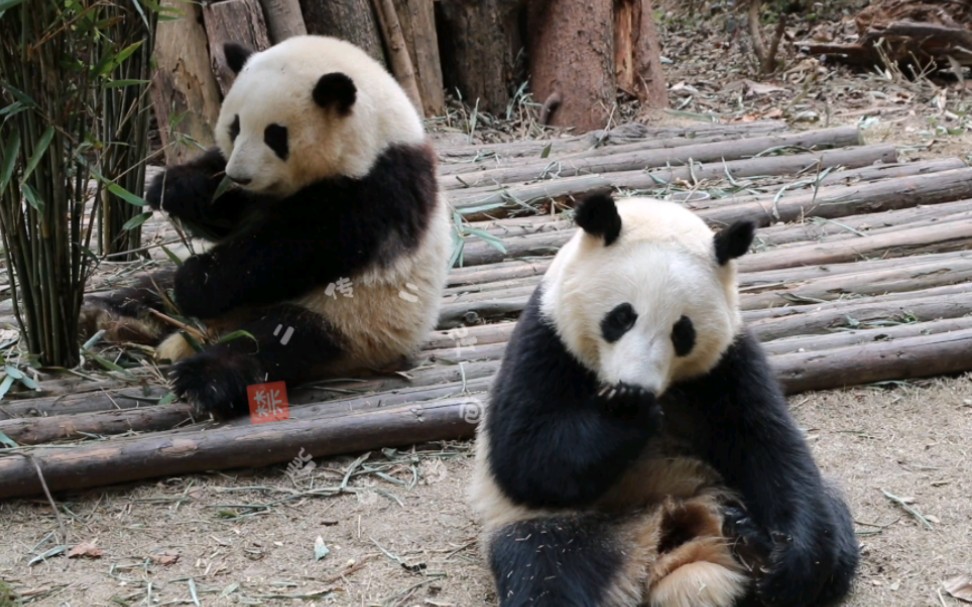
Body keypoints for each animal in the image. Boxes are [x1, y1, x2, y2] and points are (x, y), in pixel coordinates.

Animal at [79, 35, 452, 420]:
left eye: (276, 136)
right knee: (154, 290)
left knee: (273, 342)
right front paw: (172, 187)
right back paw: (109, 315)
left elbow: (295, 250)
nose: (239, 175)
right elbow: (223, 213)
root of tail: (210, 330)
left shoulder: (377, 189)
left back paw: (203, 379)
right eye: (235, 127)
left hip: (355, 319)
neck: (375, 136)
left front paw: (197, 282)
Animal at [470, 195, 860, 607]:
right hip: (568, 528)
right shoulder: (545, 339)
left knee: (831, 519)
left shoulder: (727, 363)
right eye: (621, 317)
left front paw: (793, 563)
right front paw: (631, 412)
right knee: (545, 570)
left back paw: (753, 544)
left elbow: (768, 446)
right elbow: (526, 456)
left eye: (682, 331)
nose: (634, 383)